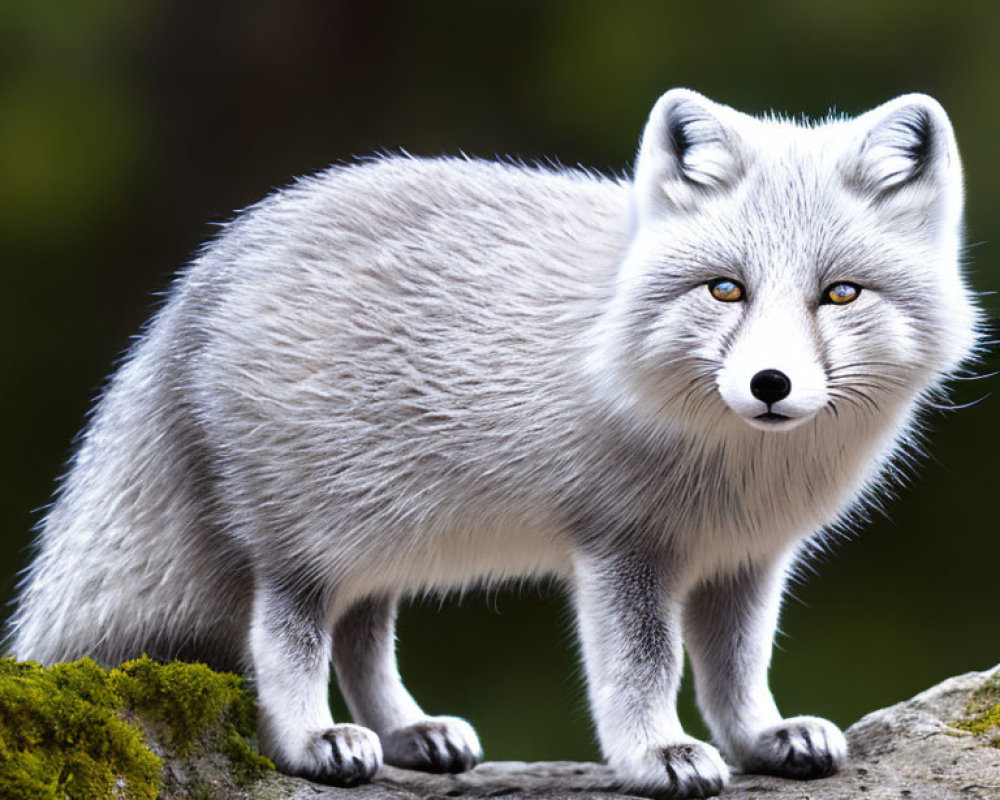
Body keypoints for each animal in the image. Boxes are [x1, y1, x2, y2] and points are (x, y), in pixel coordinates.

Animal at [5, 89, 976, 800]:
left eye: (840, 293)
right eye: (725, 289)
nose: (769, 386)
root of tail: (213, 263)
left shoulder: (746, 558)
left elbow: (737, 671)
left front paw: (761, 740)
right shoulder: (622, 549)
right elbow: (646, 668)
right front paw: (655, 755)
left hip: (380, 540)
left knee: (362, 639)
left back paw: (410, 733)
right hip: (305, 545)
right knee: (285, 640)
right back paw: (316, 741)